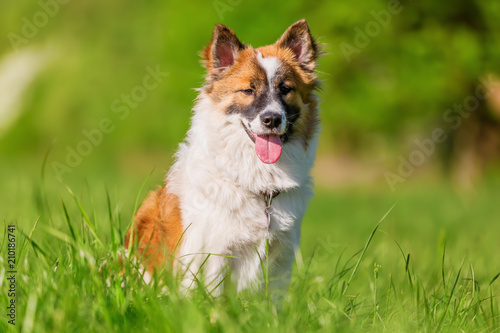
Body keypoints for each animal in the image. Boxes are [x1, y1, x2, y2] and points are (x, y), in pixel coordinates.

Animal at [124, 18, 320, 294]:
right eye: (248, 90)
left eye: (286, 89)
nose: (272, 119)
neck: (259, 186)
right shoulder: (212, 256)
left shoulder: (280, 260)